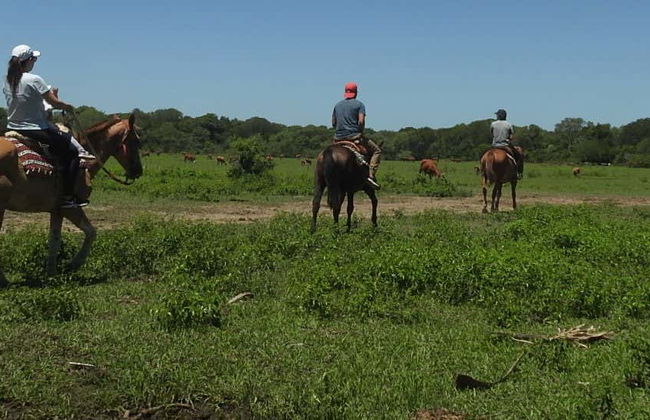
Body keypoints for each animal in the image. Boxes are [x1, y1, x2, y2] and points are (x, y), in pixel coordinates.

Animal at [0, 114, 143, 286]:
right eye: (136, 141)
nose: (138, 171)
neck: (85, 162)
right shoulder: (71, 208)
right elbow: (91, 232)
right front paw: (73, 264)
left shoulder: (57, 210)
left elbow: (54, 240)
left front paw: (52, 273)